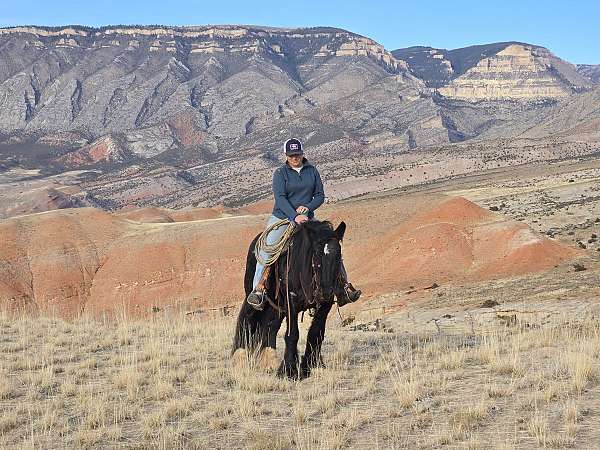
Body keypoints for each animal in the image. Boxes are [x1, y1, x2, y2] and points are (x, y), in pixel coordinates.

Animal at [233, 220, 346, 378]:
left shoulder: (325, 305)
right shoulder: (291, 301)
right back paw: (240, 360)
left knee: (271, 326)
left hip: (276, 306)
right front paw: (289, 370)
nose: (326, 291)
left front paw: (309, 365)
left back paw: (269, 361)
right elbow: (292, 334)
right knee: (246, 319)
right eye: (316, 253)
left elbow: (316, 332)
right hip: (253, 295)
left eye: (338, 255)